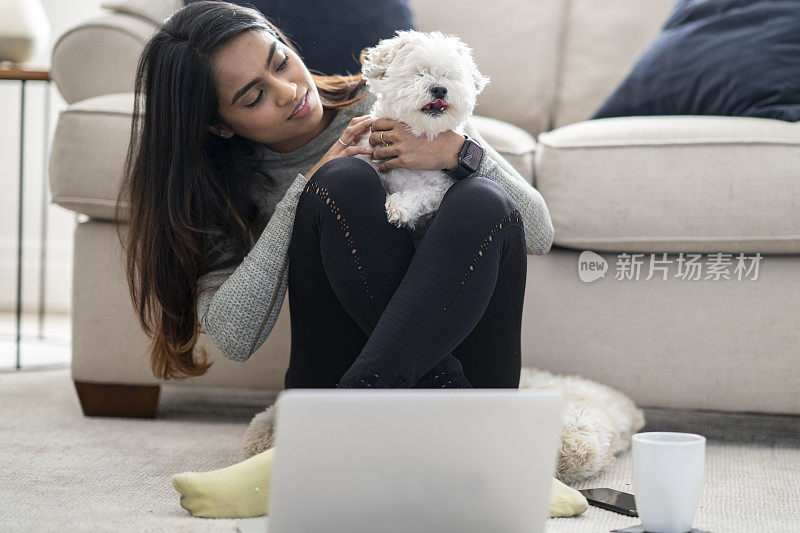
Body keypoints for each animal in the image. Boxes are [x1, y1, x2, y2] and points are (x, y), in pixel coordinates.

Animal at [354, 29, 490, 233]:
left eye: (448, 75)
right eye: (419, 73)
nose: (440, 89)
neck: (421, 130)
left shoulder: (438, 186)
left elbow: (419, 196)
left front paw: (398, 207)